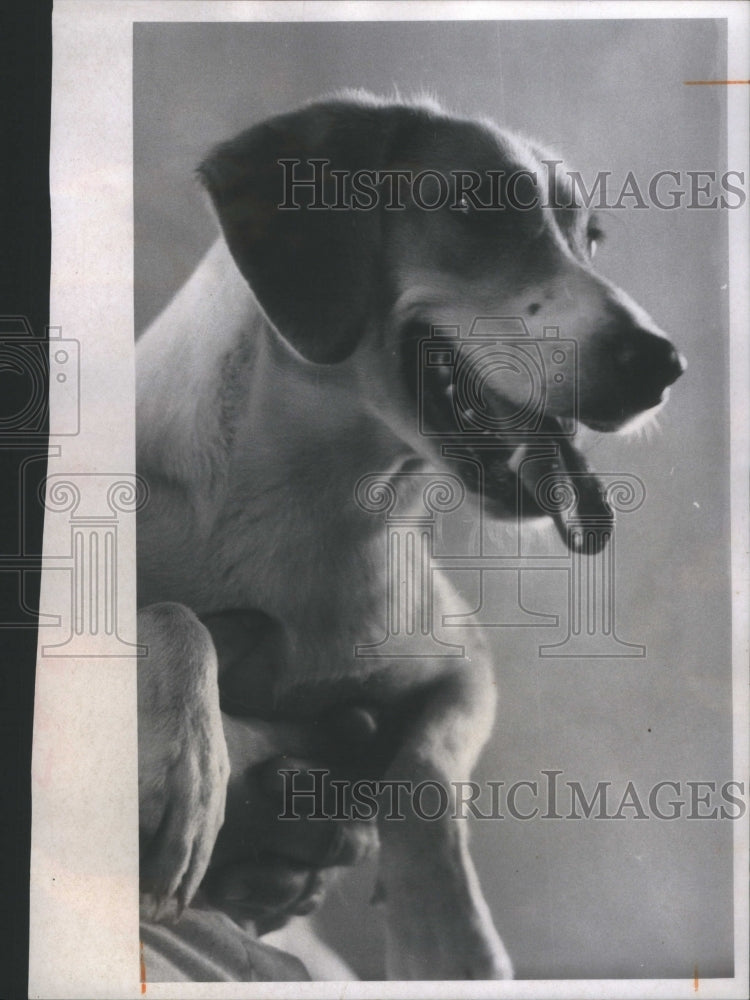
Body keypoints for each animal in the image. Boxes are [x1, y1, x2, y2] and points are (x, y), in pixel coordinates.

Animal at [135, 94, 688, 984]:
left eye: (592, 237)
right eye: (482, 206)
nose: (664, 364)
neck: (312, 501)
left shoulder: (465, 664)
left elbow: (427, 771)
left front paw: (448, 939)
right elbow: (171, 616)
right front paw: (187, 774)